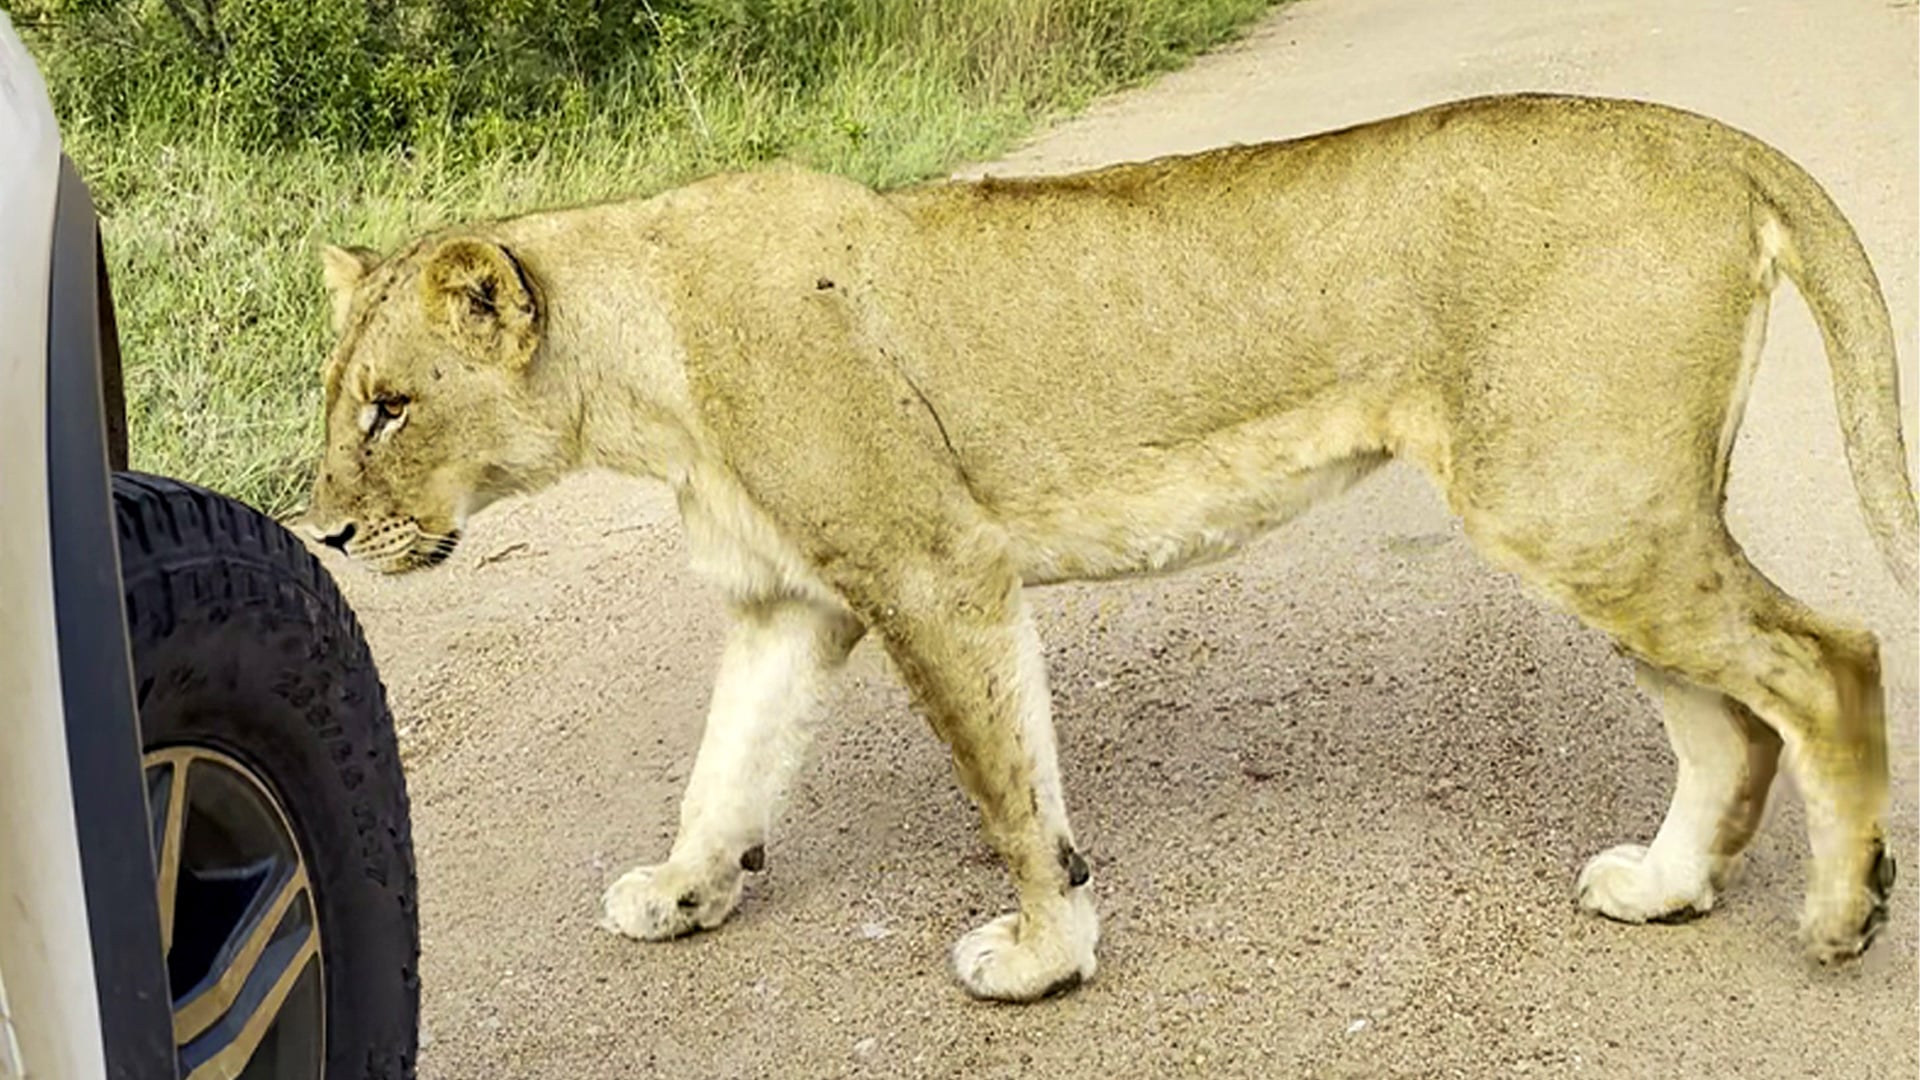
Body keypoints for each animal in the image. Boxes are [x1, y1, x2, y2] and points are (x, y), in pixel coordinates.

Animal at [300, 92, 1916, 1002]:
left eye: (387, 407)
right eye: (341, 402)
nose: (321, 527)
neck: (639, 372)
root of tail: (1709, 139)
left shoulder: (934, 567)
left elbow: (1014, 793)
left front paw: (1038, 959)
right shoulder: (790, 603)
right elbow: (726, 767)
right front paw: (688, 893)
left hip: (1570, 494)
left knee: (1829, 660)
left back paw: (1841, 917)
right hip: (1593, 502)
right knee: (1735, 720)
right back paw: (1666, 887)